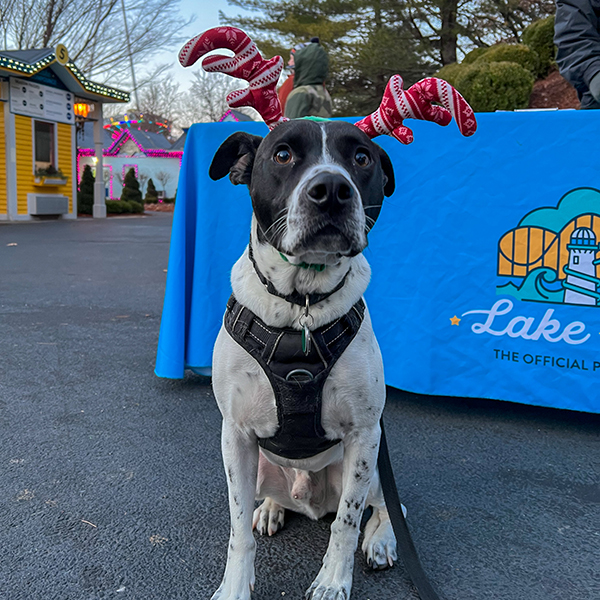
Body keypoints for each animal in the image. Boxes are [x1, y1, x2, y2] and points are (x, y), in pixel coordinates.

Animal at [209, 118, 400, 600]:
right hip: (261, 469)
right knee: (267, 502)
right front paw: (234, 586)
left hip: (373, 470)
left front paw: (333, 582)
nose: (331, 189)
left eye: (361, 157)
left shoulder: (364, 434)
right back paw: (271, 510)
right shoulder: (235, 436)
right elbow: (238, 531)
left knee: (388, 506)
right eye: (282, 154)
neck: (302, 304)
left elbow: (347, 523)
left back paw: (382, 541)